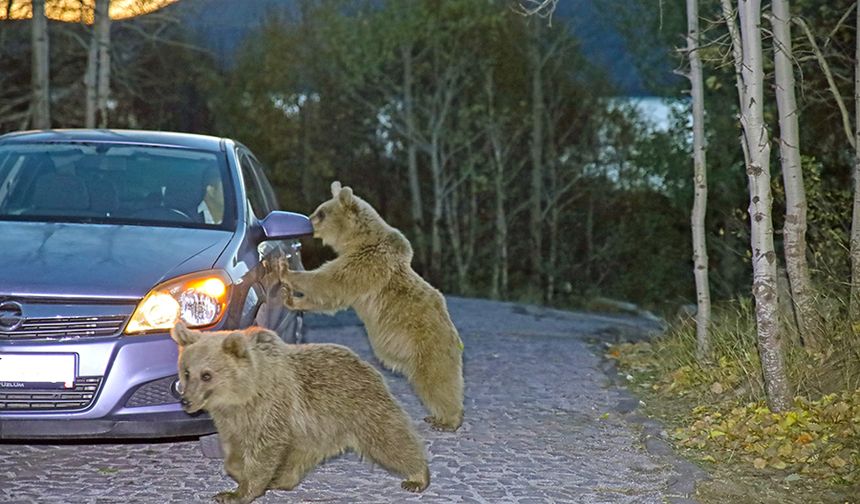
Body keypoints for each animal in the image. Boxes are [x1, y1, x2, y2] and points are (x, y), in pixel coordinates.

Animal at [171, 322, 430, 504]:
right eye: (186, 371)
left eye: (206, 375)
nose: (185, 400)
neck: (243, 394)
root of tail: (366, 364)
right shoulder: (231, 420)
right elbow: (235, 450)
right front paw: (238, 474)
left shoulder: (271, 408)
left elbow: (264, 450)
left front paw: (237, 492)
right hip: (314, 429)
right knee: (299, 456)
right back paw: (280, 480)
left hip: (359, 408)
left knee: (389, 440)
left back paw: (417, 476)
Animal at [278, 182, 464, 434]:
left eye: (321, 212)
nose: (307, 222)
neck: (357, 240)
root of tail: (455, 338)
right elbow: (329, 297)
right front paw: (292, 299)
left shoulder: (365, 264)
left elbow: (329, 282)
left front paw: (285, 271)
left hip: (429, 346)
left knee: (437, 381)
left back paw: (447, 420)